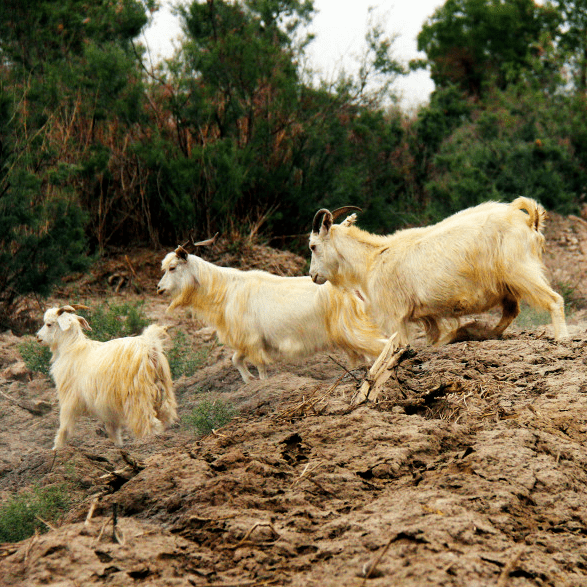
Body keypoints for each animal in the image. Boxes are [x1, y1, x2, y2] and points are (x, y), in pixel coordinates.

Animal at [36, 306, 177, 448]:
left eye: (49, 324)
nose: (38, 337)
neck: (71, 348)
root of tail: (150, 348)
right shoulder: (107, 404)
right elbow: (112, 428)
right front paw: (117, 445)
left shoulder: (69, 397)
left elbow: (64, 426)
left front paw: (57, 447)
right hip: (161, 391)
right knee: (164, 416)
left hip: (138, 396)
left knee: (149, 422)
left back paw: (149, 442)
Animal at [156, 237, 388, 384]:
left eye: (173, 267)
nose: (159, 289)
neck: (227, 289)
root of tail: (355, 289)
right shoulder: (249, 341)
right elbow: (235, 360)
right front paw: (249, 380)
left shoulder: (253, 341)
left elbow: (260, 367)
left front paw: (260, 382)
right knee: (364, 357)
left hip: (354, 330)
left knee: (382, 346)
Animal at [310, 199, 572, 344]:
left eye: (312, 246)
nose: (313, 276)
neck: (373, 258)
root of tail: (529, 222)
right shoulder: (428, 317)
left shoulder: (394, 316)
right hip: (508, 285)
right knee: (510, 312)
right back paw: (478, 333)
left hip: (521, 272)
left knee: (554, 299)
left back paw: (562, 337)